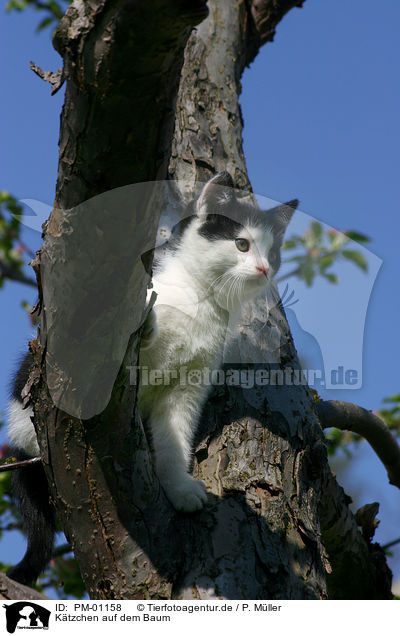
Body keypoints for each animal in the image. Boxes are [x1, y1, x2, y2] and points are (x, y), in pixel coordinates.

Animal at [4, 170, 296, 580]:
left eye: (273, 255)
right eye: (242, 244)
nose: (263, 269)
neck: (201, 297)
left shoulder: (189, 386)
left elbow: (176, 435)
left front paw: (180, 487)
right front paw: (147, 315)